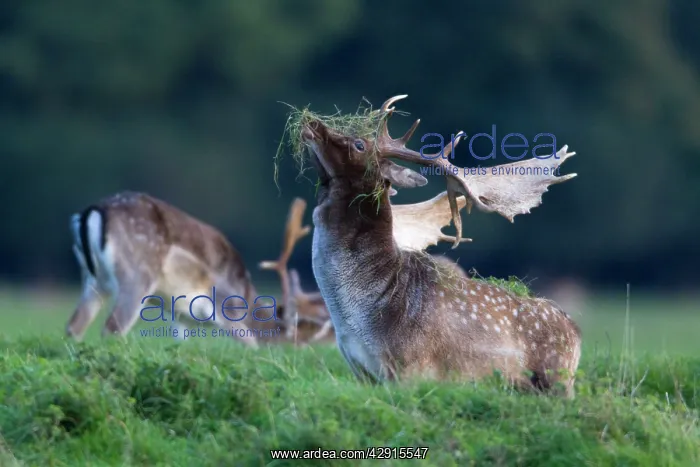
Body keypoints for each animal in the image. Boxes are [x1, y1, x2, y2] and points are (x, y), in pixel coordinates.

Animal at [66, 191, 281, 347]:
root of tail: (92, 212)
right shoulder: (224, 308)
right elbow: (250, 344)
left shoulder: (179, 315)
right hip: (136, 277)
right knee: (113, 327)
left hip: (93, 279)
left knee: (74, 326)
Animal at [299, 94, 582, 397]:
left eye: (359, 144)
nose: (312, 122)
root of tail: (577, 332)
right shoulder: (361, 371)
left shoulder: (412, 366)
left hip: (557, 378)